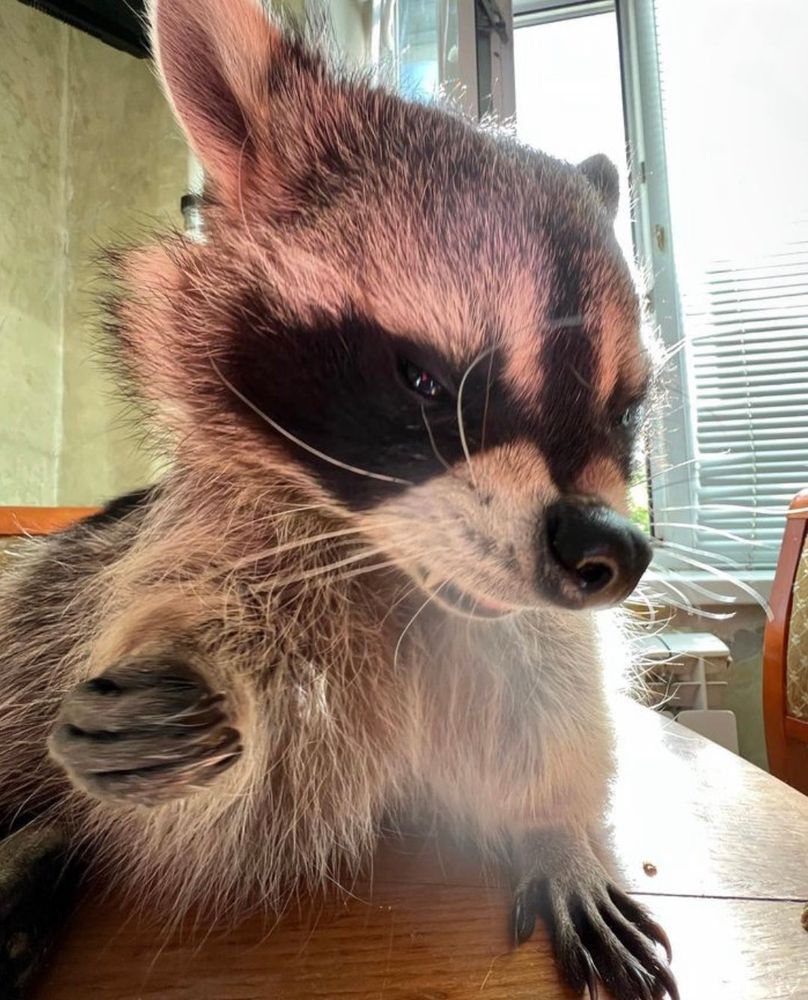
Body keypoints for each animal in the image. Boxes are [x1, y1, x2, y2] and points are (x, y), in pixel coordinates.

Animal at [0, 0, 677, 997]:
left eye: (624, 410)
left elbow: (556, 701)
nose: (611, 551)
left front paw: (556, 827)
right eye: (424, 380)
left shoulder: (526, 628)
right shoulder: (204, 548)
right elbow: (217, 811)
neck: (403, 578)